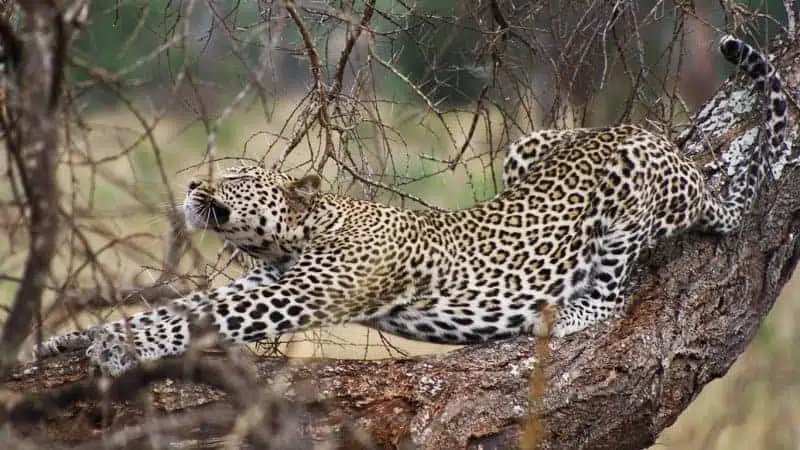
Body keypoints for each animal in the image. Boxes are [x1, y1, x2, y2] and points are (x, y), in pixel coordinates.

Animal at [35, 36, 791, 376]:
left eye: (242, 176)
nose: (194, 186)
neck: (298, 236)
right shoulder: (270, 280)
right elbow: (183, 306)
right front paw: (71, 338)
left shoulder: (298, 291)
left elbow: (203, 315)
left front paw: (119, 346)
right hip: (527, 145)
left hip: (632, 187)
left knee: (614, 288)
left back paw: (562, 315)